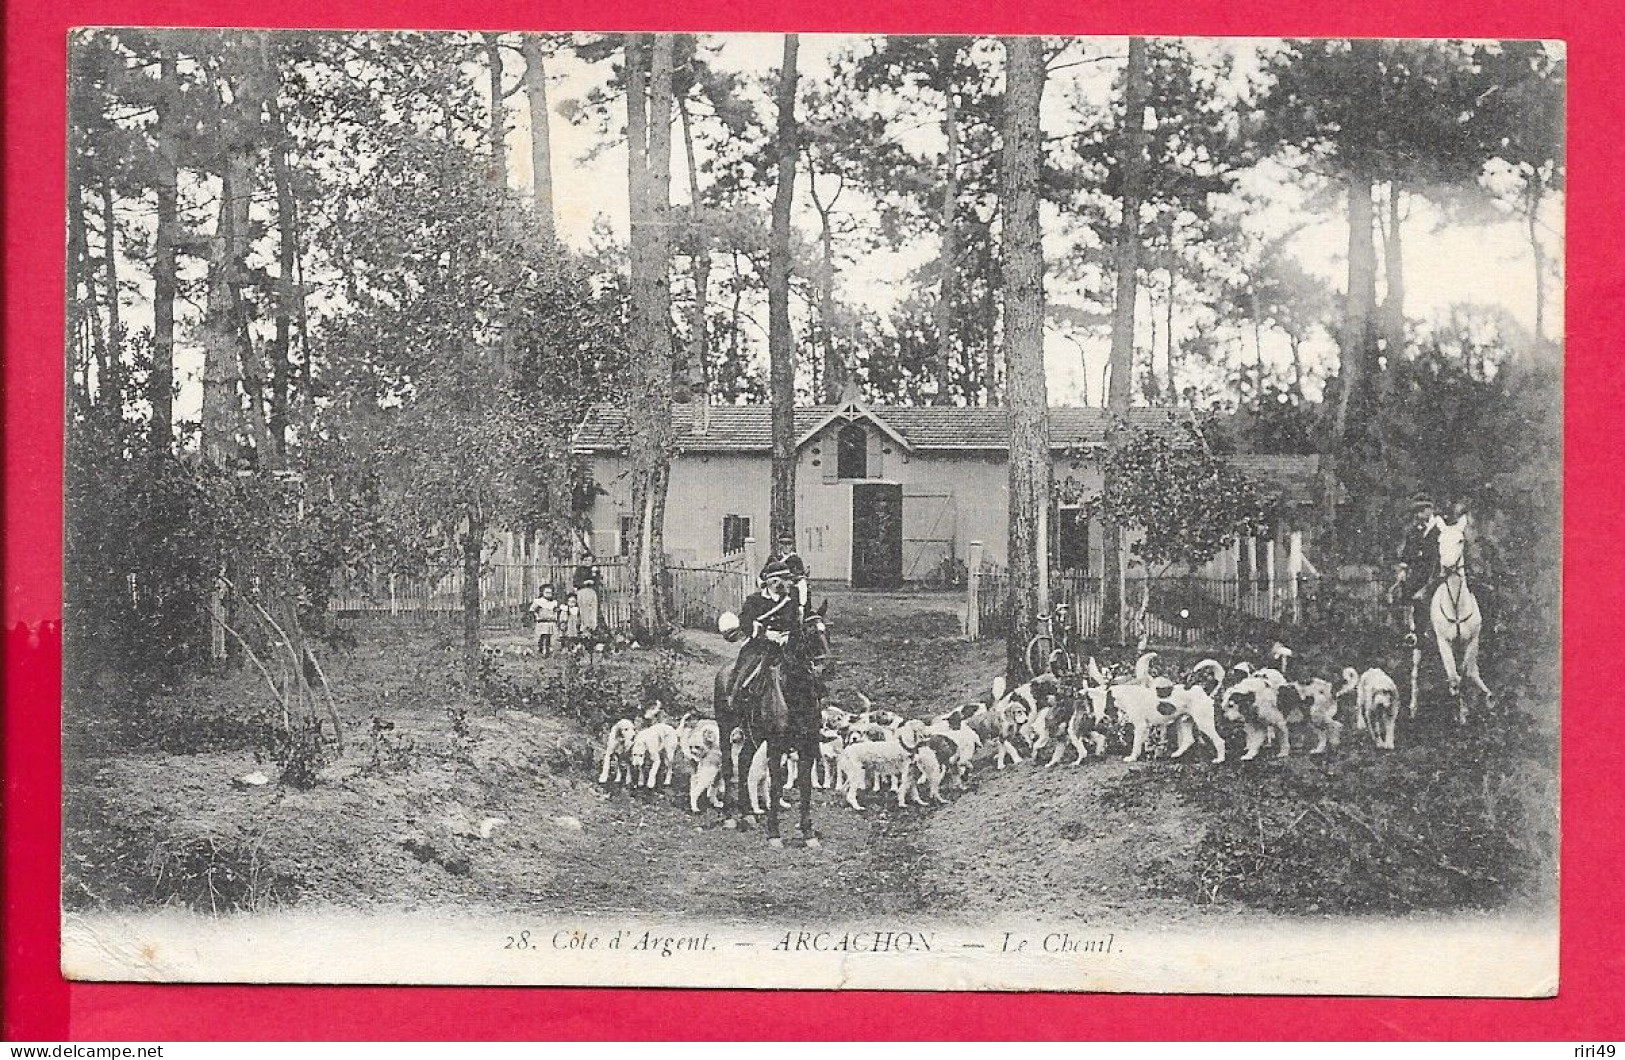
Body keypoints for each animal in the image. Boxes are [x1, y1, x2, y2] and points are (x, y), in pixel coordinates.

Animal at [715, 601, 838, 851]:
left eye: (827, 632)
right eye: (808, 633)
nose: (826, 669)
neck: (795, 694)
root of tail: (724, 670)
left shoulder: (807, 747)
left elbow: (805, 787)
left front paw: (808, 833)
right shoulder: (775, 747)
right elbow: (775, 786)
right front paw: (774, 833)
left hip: (755, 734)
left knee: (744, 761)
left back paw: (747, 814)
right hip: (726, 728)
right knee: (728, 764)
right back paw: (730, 816)